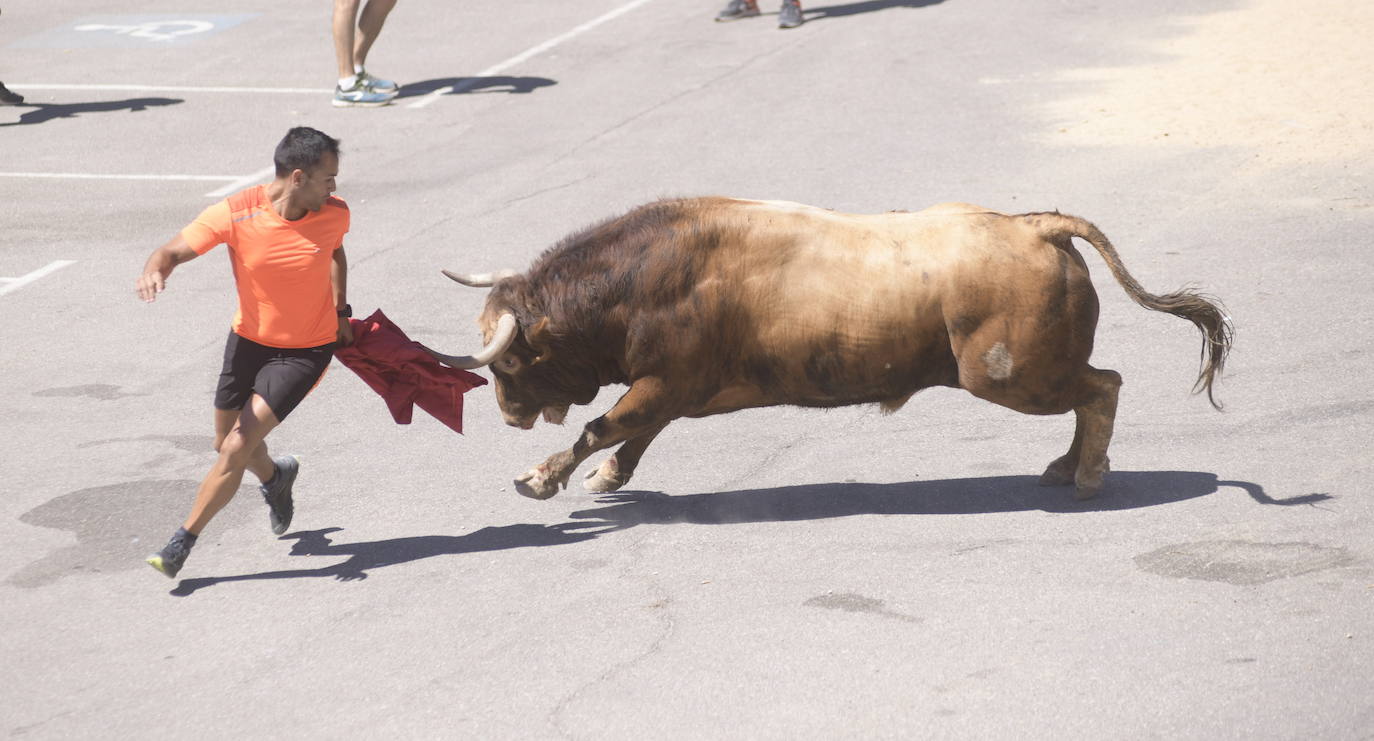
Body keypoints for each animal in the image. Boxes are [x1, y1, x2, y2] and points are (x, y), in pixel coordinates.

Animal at [423, 196, 1231, 500]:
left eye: (508, 360)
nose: (508, 414)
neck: (641, 280)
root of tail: (1034, 224)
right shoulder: (671, 388)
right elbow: (634, 432)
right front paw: (605, 478)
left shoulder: (666, 382)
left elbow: (604, 424)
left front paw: (541, 477)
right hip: (1028, 373)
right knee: (1095, 387)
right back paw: (1068, 466)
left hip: (1011, 375)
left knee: (1103, 386)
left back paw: (1087, 475)